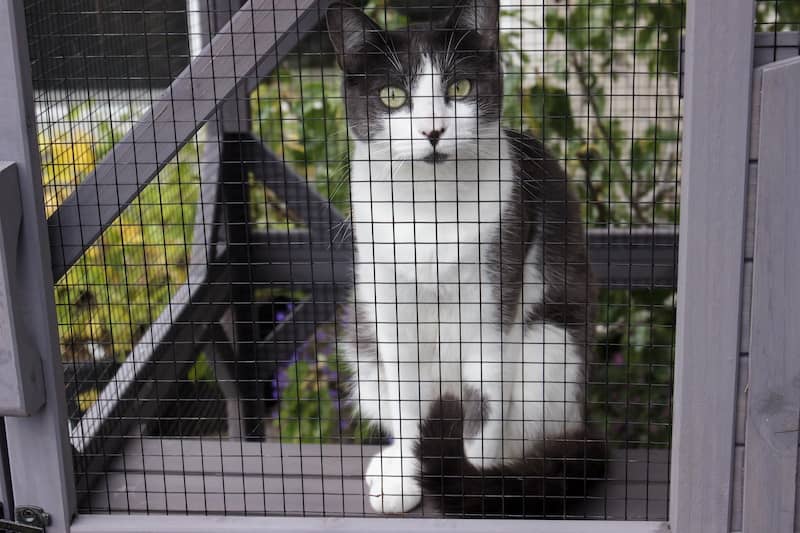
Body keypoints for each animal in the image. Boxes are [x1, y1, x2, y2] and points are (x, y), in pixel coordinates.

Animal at [328, 0, 604, 516]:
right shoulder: (389, 301)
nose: (433, 130)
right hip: (361, 334)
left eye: (459, 88)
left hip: (550, 344)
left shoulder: (493, 293)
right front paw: (406, 478)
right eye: (392, 96)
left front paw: (469, 479)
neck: (430, 206)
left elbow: (484, 405)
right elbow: (408, 401)